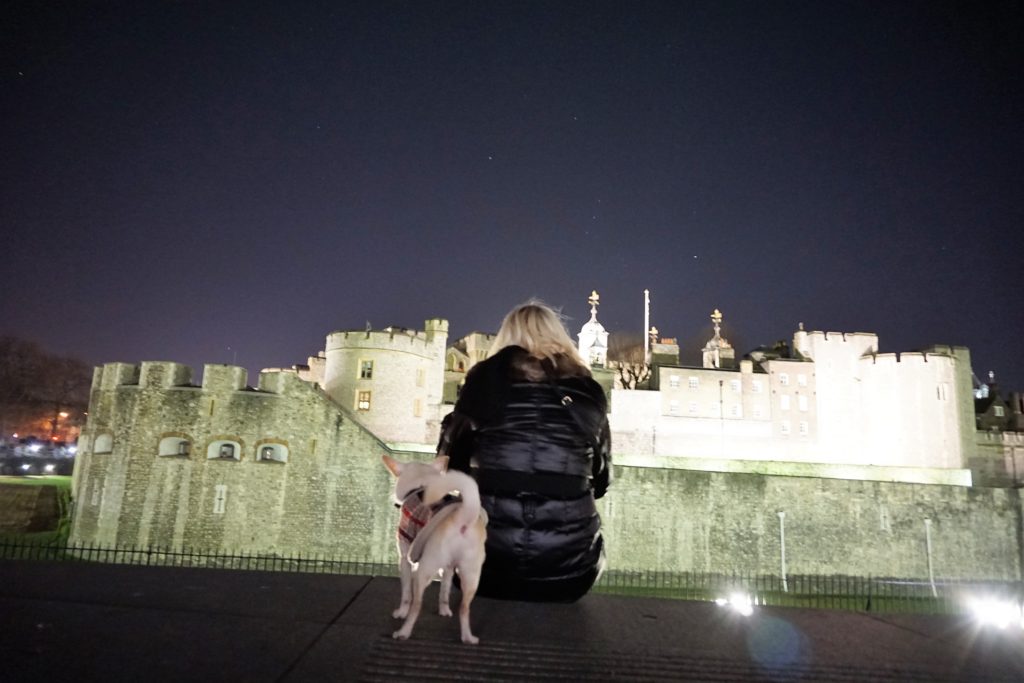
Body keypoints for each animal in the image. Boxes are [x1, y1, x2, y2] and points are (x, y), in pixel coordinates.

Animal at [385, 456, 487, 643]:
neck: (421, 484)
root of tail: (461, 518)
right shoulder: (449, 567)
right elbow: (445, 590)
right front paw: (444, 611)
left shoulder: (405, 559)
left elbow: (406, 594)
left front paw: (401, 613)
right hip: (471, 575)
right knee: (464, 608)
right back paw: (468, 637)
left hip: (425, 569)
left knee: (416, 605)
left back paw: (403, 632)